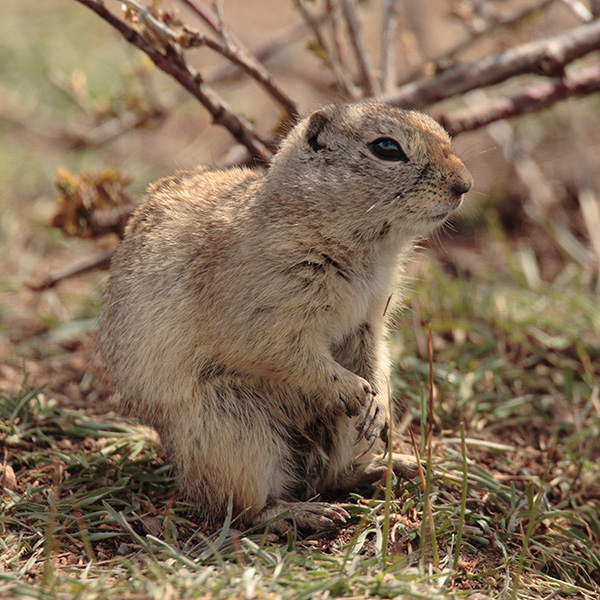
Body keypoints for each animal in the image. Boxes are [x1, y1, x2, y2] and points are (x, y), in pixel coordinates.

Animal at [98, 101, 474, 532]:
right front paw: (354, 390)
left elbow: (376, 352)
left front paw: (379, 404)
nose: (465, 184)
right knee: (241, 509)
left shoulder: (370, 318)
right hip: (234, 432)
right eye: (387, 148)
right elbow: (288, 356)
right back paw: (302, 513)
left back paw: (392, 467)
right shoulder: (267, 318)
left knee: (335, 476)